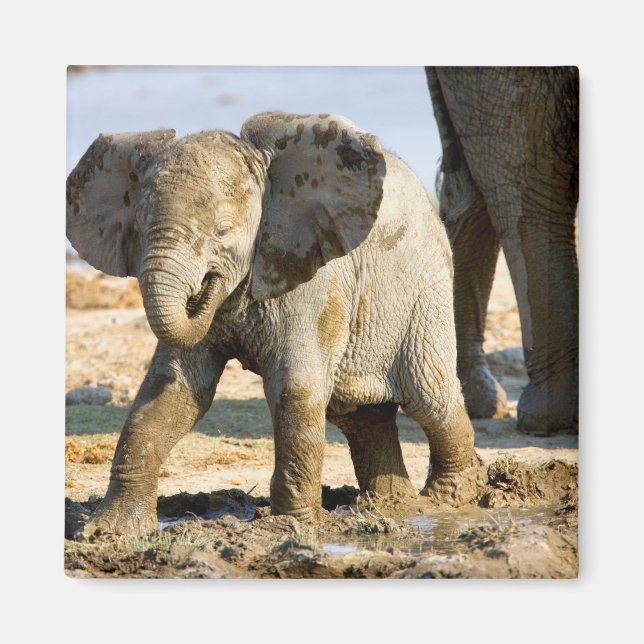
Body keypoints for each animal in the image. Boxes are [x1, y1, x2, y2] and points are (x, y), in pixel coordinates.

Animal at [67, 111, 486, 536]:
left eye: (223, 232)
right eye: (138, 228)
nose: (206, 286)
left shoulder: (314, 276)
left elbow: (294, 387)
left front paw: (292, 526)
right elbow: (172, 390)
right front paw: (109, 531)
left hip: (425, 289)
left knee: (429, 395)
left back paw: (448, 499)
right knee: (360, 415)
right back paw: (390, 505)